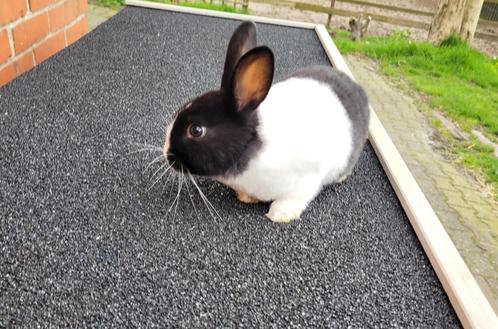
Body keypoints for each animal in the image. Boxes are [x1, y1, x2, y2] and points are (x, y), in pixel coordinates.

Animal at [162, 21, 370, 223]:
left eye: (196, 130)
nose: (166, 153)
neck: (250, 148)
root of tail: (356, 87)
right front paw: (246, 198)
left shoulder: (307, 180)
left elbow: (293, 199)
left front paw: (280, 215)